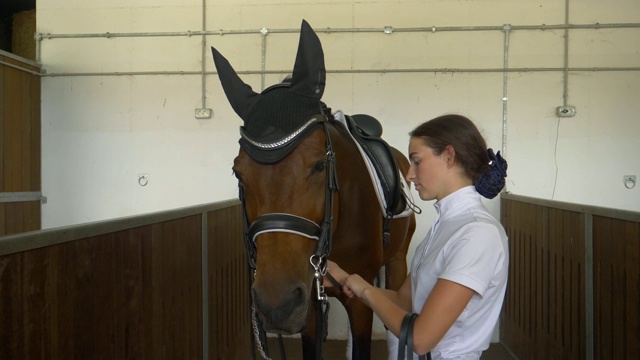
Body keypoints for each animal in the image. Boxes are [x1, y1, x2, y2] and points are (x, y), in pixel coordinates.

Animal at [212, 20, 418, 360]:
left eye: (320, 165)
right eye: (238, 172)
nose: (277, 303)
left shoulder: (360, 301)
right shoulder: (308, 301)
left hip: (397, 261)